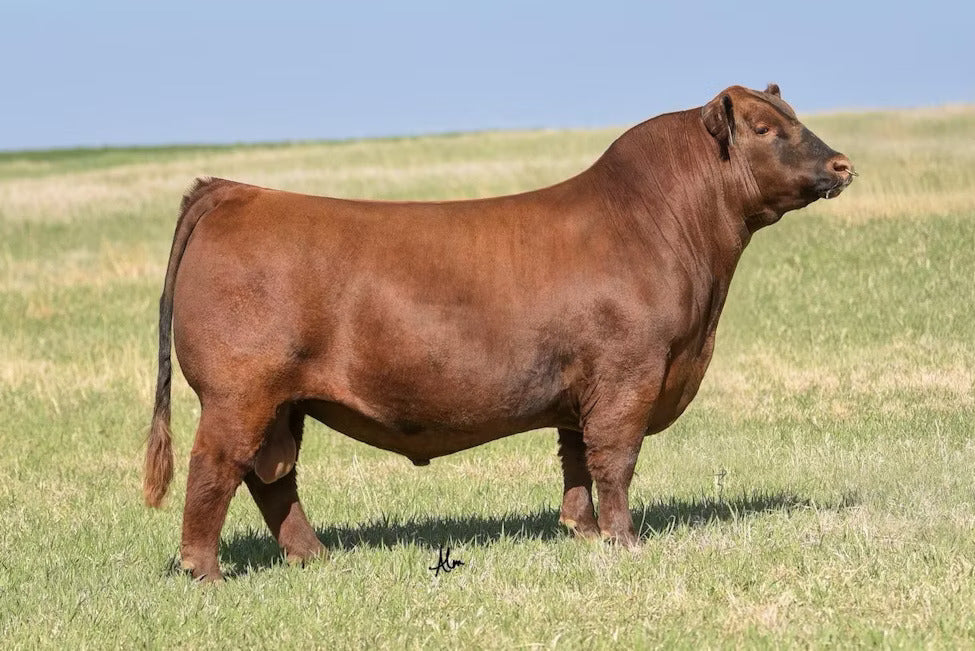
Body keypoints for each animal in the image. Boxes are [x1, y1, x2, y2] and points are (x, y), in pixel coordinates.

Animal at [144, 84, 855, 581]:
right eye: (764, 128)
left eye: (796, 117)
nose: (844, 164)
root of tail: (233, 189)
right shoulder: (630, 374)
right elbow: (615, 458)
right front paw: (625, 541)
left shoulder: (582, 387)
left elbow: (576, 456)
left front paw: (581, 532)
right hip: (240, 392)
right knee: (217, 467)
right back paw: (206, 573)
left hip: (282, 403)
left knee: (273, 477)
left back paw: (313, 557)